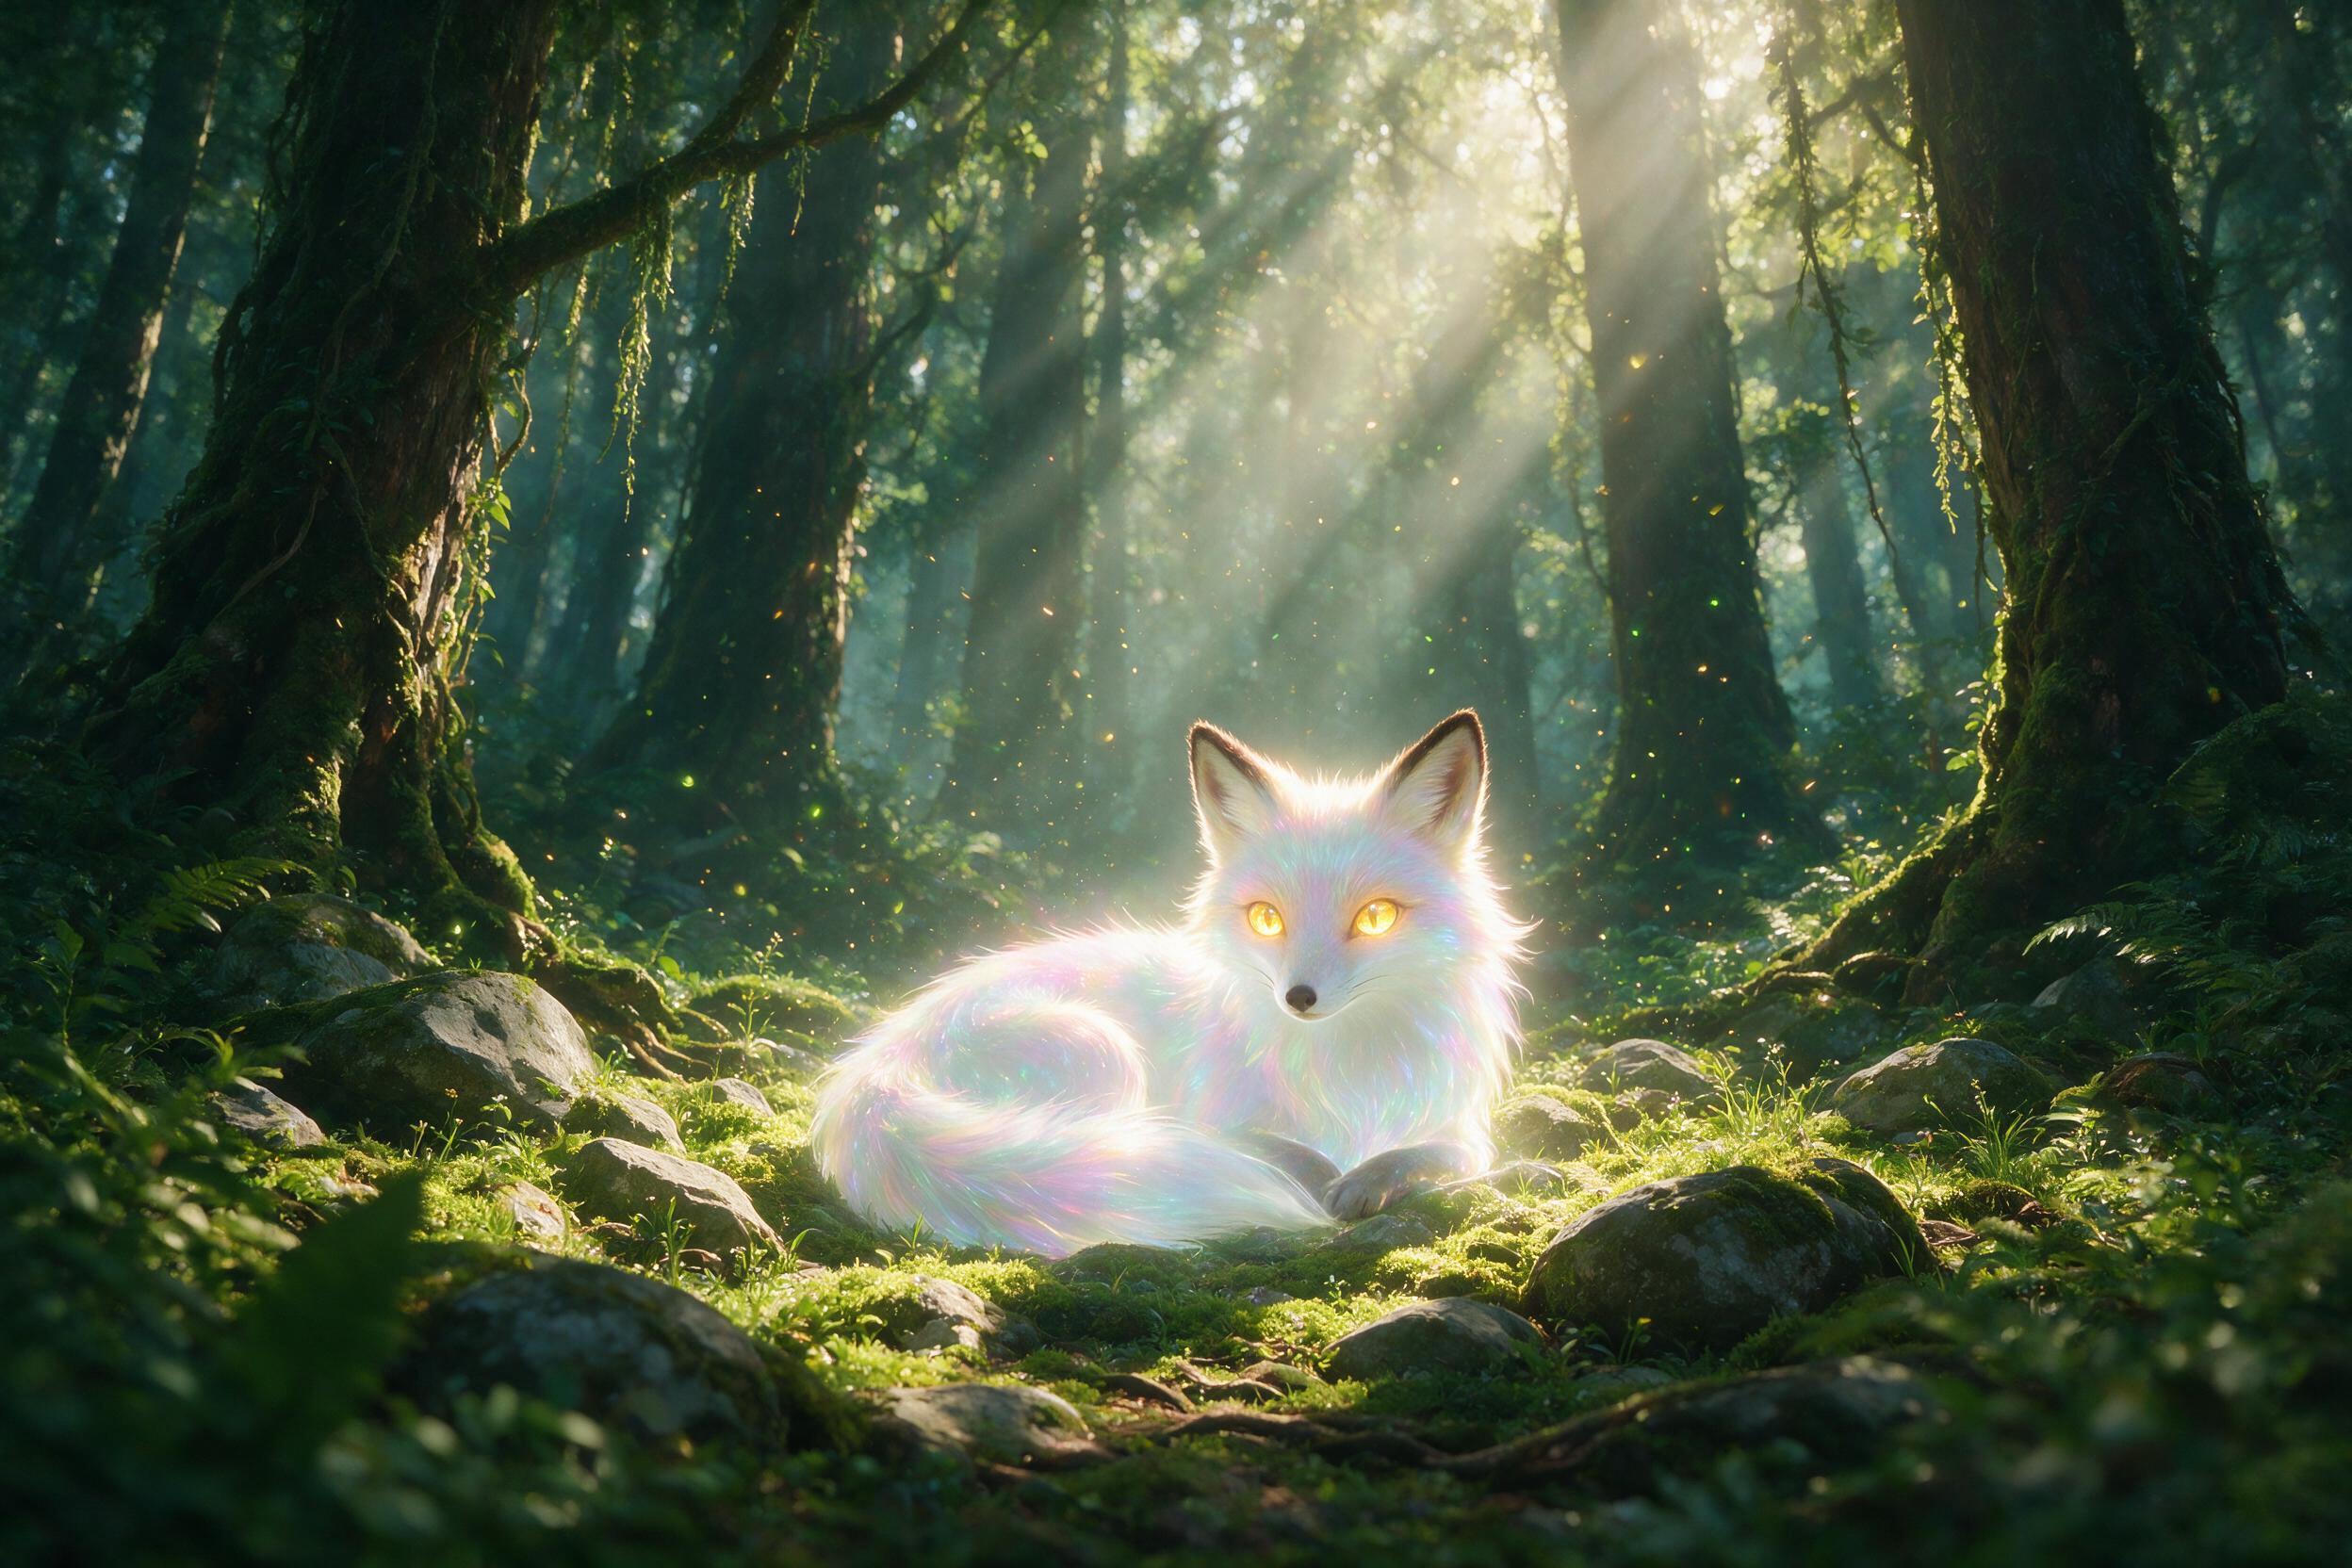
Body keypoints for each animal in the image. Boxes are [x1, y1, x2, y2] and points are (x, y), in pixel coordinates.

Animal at [809, 710, 1531, 1257]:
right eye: (1267, 919)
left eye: (1375, 917)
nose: (1297, 998)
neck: (1343, 1073)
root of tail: (870, 1071)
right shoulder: (1209, 1116)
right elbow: (1278, 1151)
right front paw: (1319, 1180)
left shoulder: (1461, 1127)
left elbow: (1441, 1155)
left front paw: (1371, 1177)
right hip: (1102, 1052)